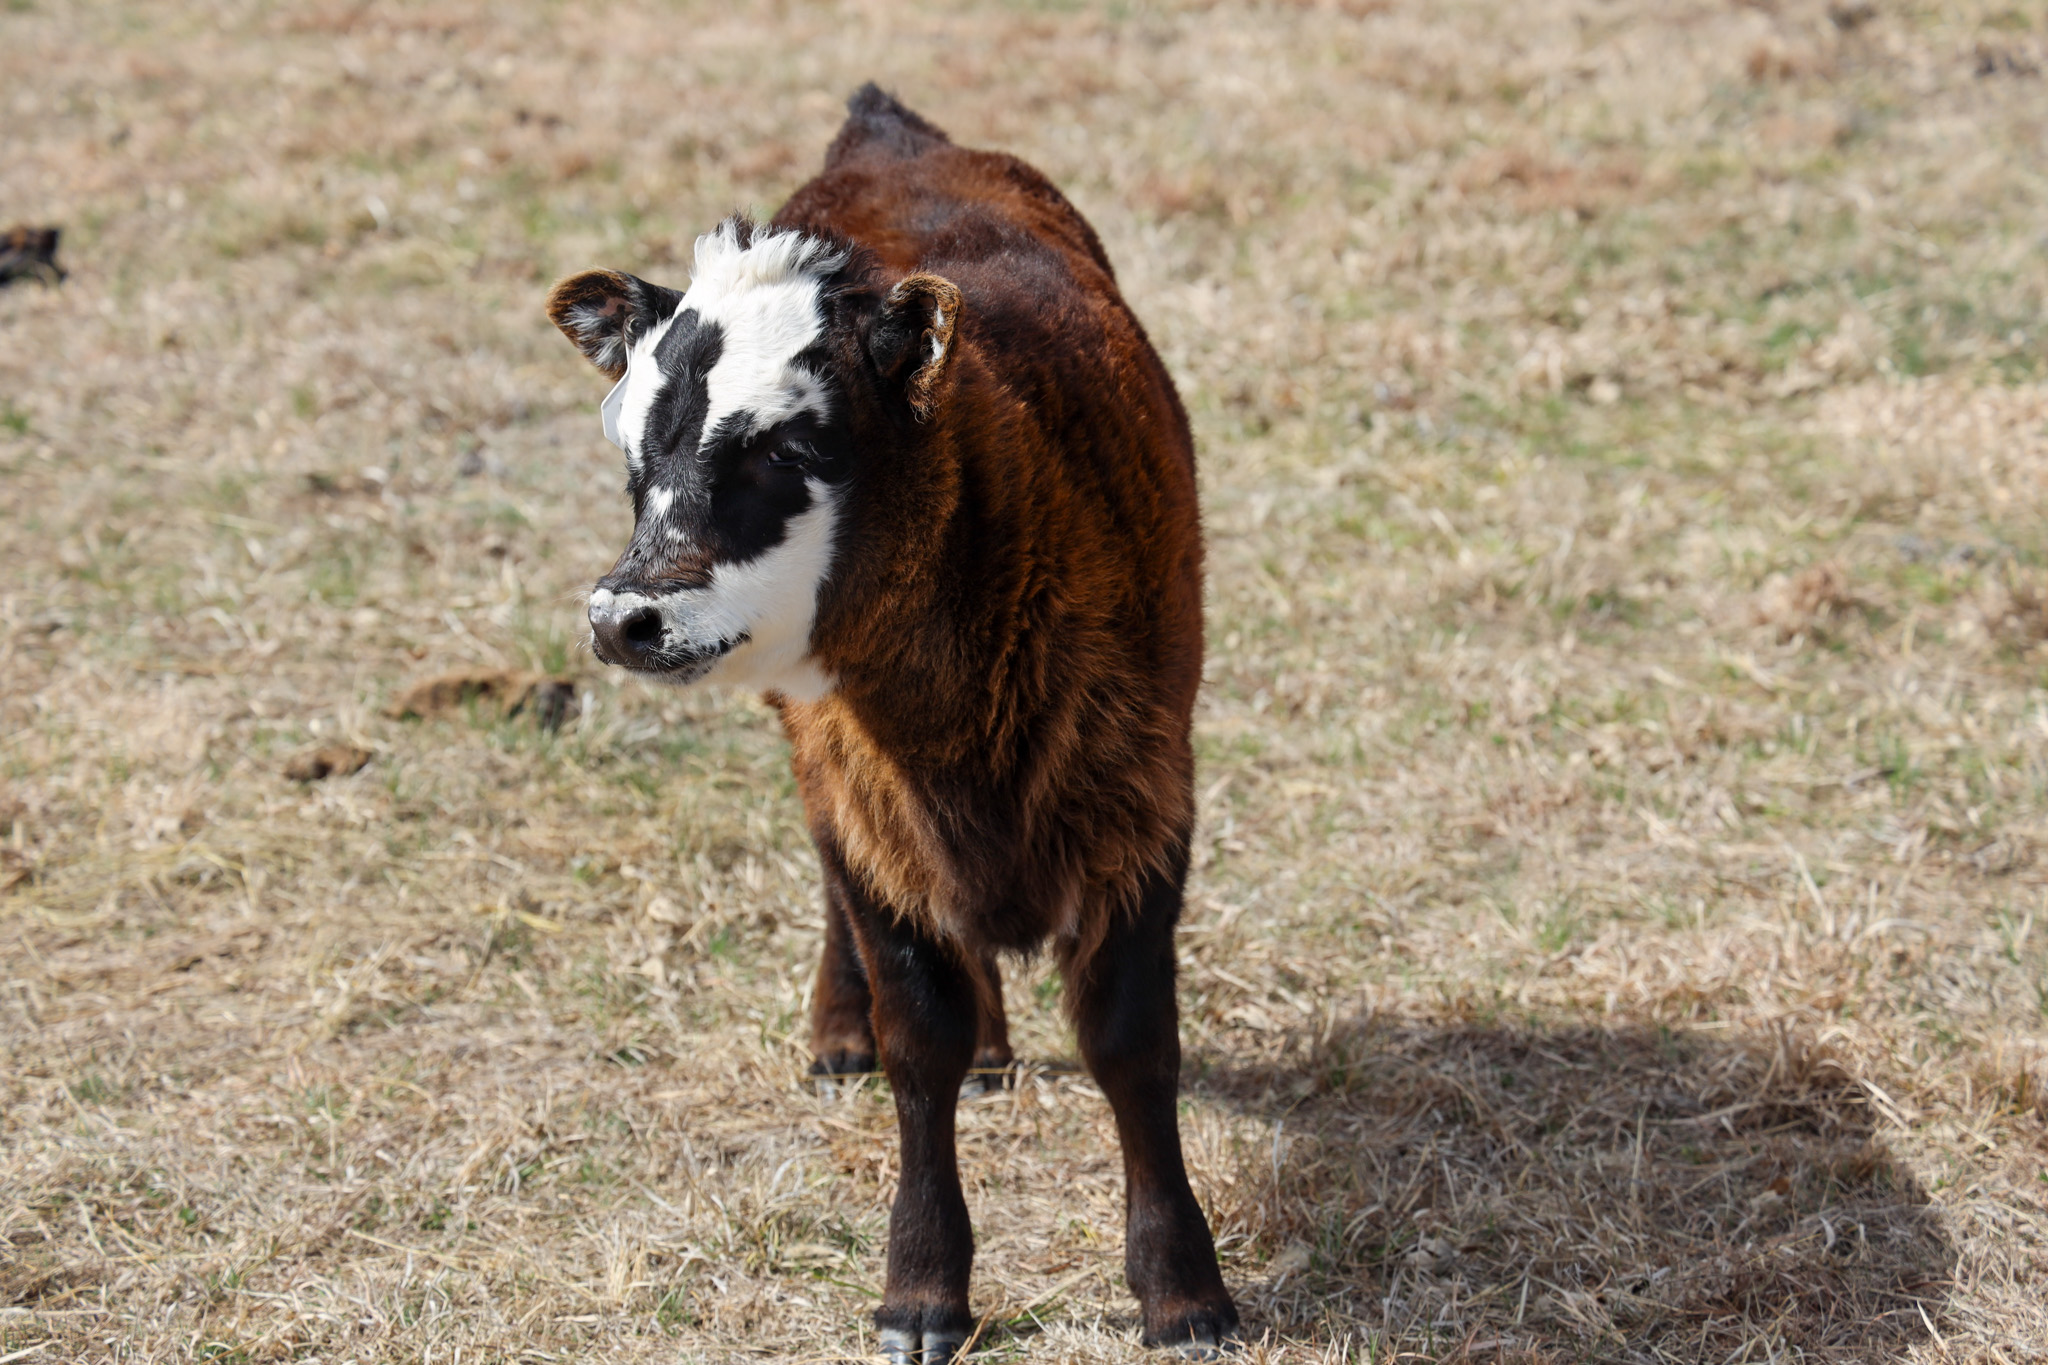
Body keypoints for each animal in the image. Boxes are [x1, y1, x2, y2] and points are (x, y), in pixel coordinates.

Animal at [544, 85, 1236, 1365]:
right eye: (631, 459)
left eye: (784, 446)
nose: (623, 616)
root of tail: (885, 130)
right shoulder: (863, 797)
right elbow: (919, 1035)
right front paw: (922, 1289)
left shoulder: (1146, 793)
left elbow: (1129, 1039)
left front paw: (1181, 1291)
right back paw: (840, 1030)